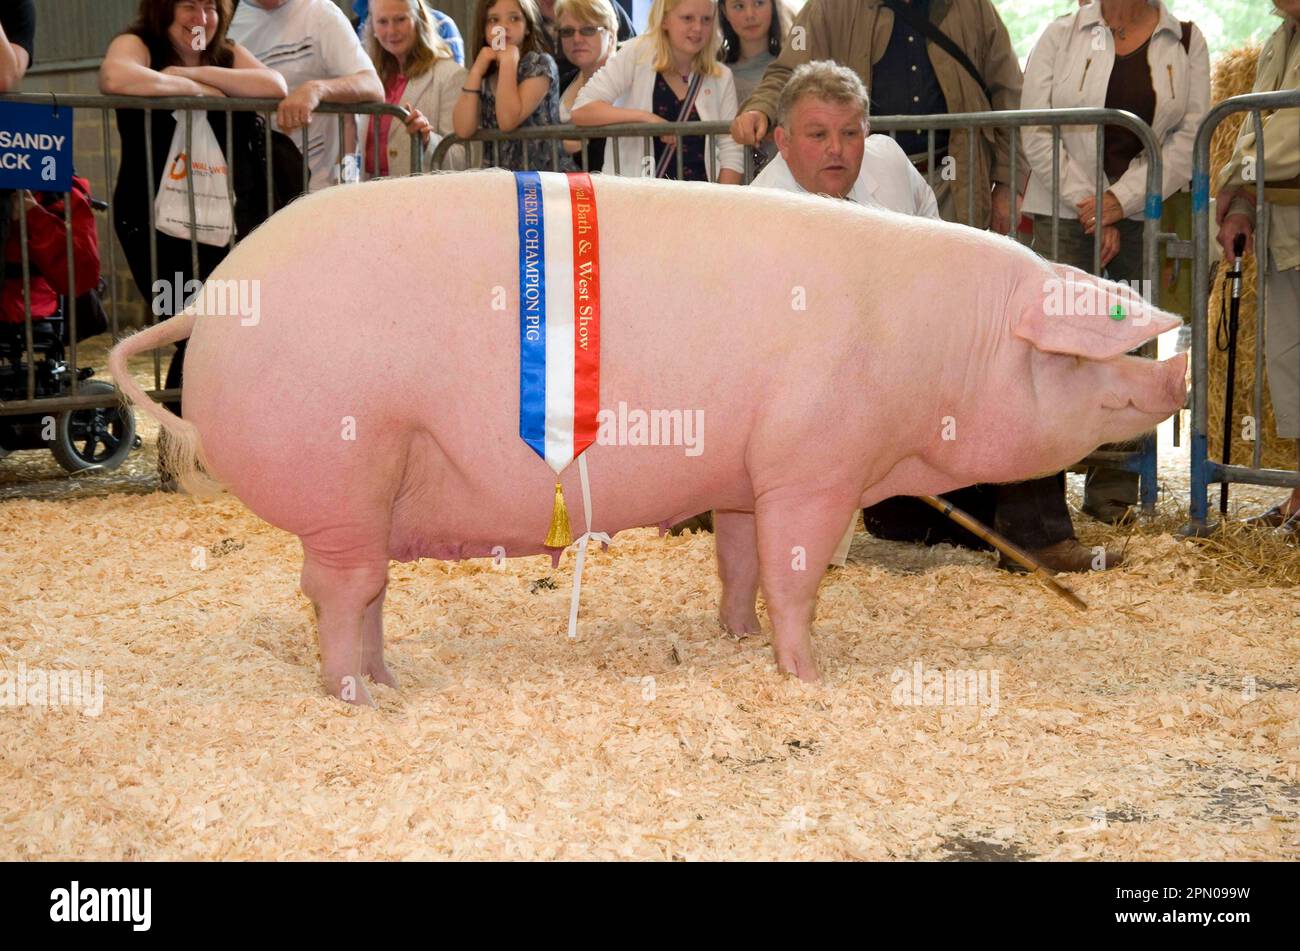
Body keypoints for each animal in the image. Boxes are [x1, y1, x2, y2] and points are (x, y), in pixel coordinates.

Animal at [109, 172, 1190, 706]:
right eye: (1104, 332)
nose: (1177, 365)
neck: (939, 345)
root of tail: (205, 303)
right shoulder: (814, 461)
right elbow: (797, 571)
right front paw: (807, 676)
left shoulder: (747, 471)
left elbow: (741, 560)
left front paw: (734, 638)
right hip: (346, 470)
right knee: (336, 593)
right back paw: (360, 699)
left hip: (363, 497)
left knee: (353, 592)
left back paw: (385, 680)